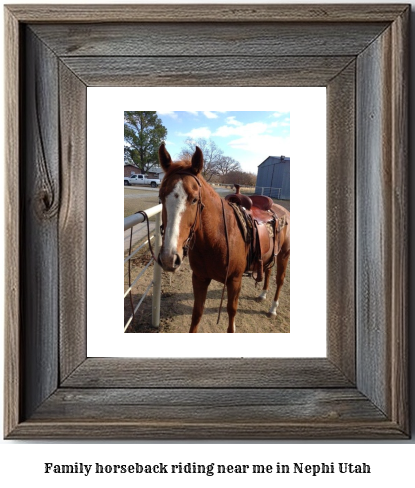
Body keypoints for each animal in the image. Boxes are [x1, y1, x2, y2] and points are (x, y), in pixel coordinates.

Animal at [158, 143, 290, 334]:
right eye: (161, 197)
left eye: (194, 199)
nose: (169, 258)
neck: (215, 239)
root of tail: (281, 210)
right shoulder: (199, 278)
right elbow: (197, 314)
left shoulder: (234, 280)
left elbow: (231, 312)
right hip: (269, 255)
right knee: (268, 271)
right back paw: (262, 294)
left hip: (284, 255)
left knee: (279, 280)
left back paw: (273, 308)